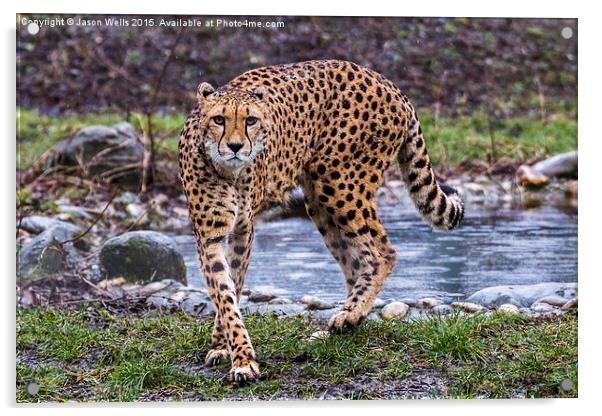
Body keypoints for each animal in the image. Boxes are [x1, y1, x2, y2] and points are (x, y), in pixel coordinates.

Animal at [176, 60, 462, 382]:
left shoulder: (243, 229)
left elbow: (232, 287)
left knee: (382, 252)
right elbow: (224, 293)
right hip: (318, 197)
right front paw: (225, 347)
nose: (236, 146)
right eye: (218, 119)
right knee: (356, 261)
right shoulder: (209, 237)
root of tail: (383, 80)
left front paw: (241, 359)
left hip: (339, 183)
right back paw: (348, 319)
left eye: (250, 120)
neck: (226, 171)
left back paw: (351, 313)